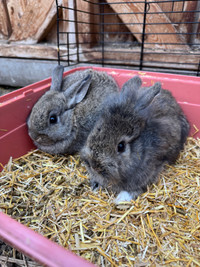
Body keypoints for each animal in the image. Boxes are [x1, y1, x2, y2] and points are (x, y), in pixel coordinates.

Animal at [80, 76, 190, 204]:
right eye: (98, 129)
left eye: (121, 146)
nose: (94, 165)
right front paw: (95, 185)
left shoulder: (149, 173)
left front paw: (120, 199)